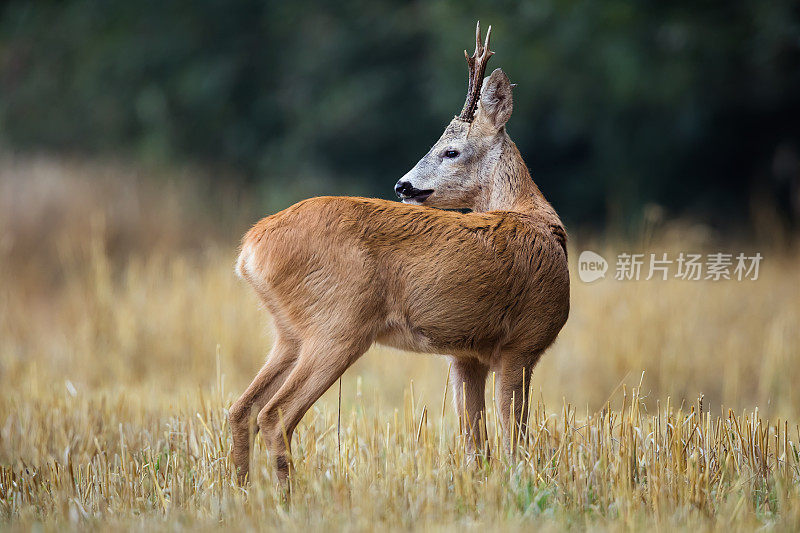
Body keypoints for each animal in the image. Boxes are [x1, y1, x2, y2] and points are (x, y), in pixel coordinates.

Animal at [230, 22, 568, 484]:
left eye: (451, 150)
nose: (402, 185)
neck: (536, 218)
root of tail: (250, 248)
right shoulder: (522, 343)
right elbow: (515, 441)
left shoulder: (466, 354)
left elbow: (475, 446)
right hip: (338, 325)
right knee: (274, 414)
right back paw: (286, 493)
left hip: (289, 332)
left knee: (239, 409)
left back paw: (242, 490)